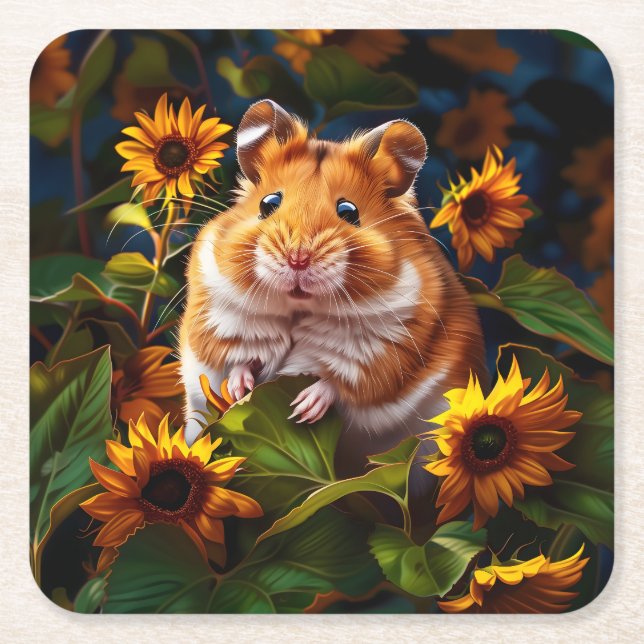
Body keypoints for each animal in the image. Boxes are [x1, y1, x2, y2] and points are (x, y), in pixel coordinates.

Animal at [179, 99, 486, 488]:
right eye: (268, 204)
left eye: (349, 211)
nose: (297, 259)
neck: (299, 309)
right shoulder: (220, 319)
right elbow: (236, 360)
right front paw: (239, 392)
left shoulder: (387, 349)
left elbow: (341, 379)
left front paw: (302, 409)